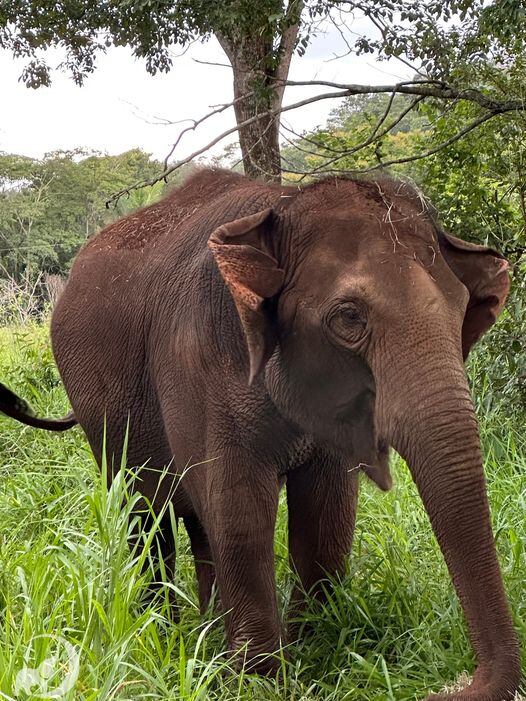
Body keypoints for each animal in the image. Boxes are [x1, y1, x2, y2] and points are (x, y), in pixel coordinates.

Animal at [3, 168, 524, 696]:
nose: (451, 684)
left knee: (196, 522)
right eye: (349, 317)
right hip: (100, 411)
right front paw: (259, 682)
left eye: (462, 310)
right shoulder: (197, 360)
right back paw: (162, 633)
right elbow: (239, 508)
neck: (283, 207)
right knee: (145, 514)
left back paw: (205, 630)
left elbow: (327, 512)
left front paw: (313, 655)